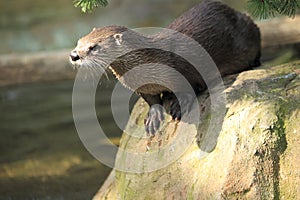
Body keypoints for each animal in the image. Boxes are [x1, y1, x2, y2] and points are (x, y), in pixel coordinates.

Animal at [69, 0, 260, 135]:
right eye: (79, 41)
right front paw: (153, 116)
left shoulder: (185, 67)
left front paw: (178, 105)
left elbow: (191, 86)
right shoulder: (142, 88)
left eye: (93, 47)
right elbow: (151, 101)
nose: (73, 55)